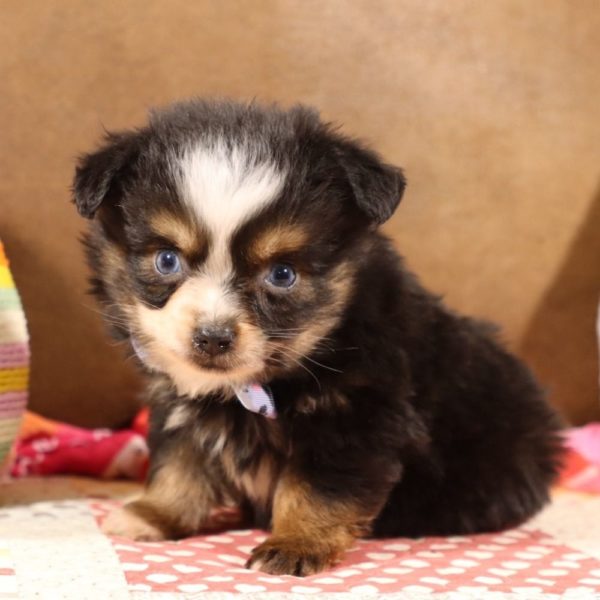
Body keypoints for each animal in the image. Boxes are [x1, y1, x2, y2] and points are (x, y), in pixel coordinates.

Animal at [74, 98, 564, 576]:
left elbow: (317, 489)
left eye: (282, 274)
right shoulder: (180, 406)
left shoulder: (357, 418)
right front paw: (153, 514)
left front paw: (295, 544)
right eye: (167, 260)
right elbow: (179, 464)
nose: (212, 337)